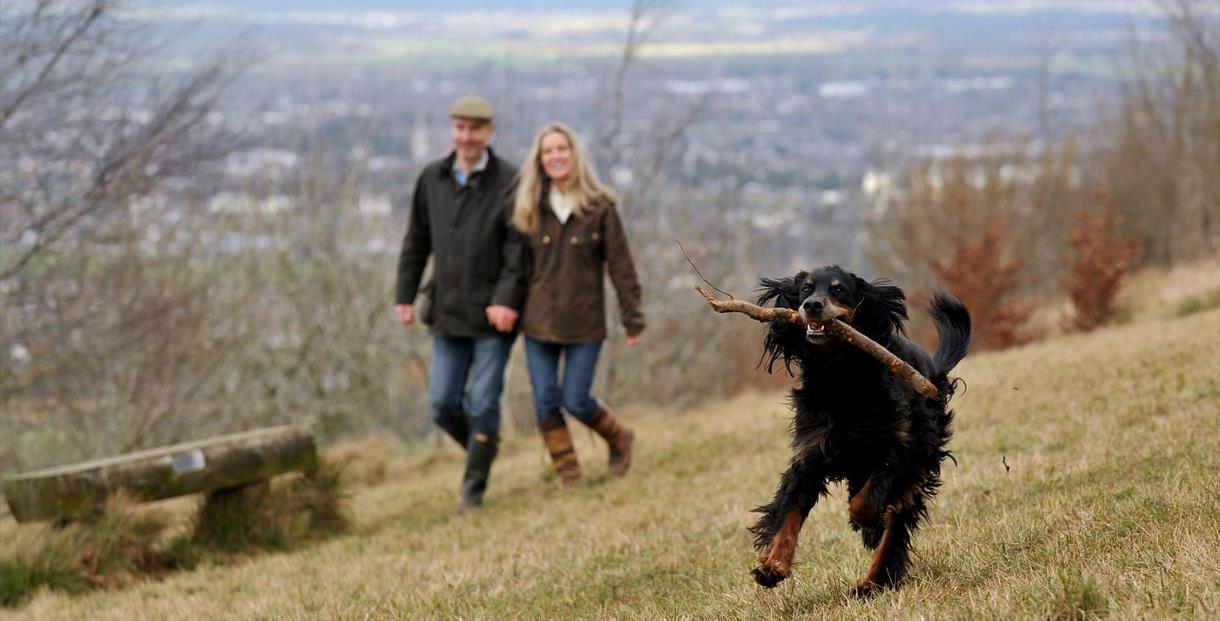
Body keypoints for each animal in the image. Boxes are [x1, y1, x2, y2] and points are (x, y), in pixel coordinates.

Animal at [741, 264, 971, 595]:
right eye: (805, 289)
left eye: (838, 290)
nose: (812, 305)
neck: (841, 378)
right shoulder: (810, 455)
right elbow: (790, 511)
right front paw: (773, 566)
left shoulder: (899, 446)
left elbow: (867, 501)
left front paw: (870, 522)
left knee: (897, 522)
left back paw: (874, 580)